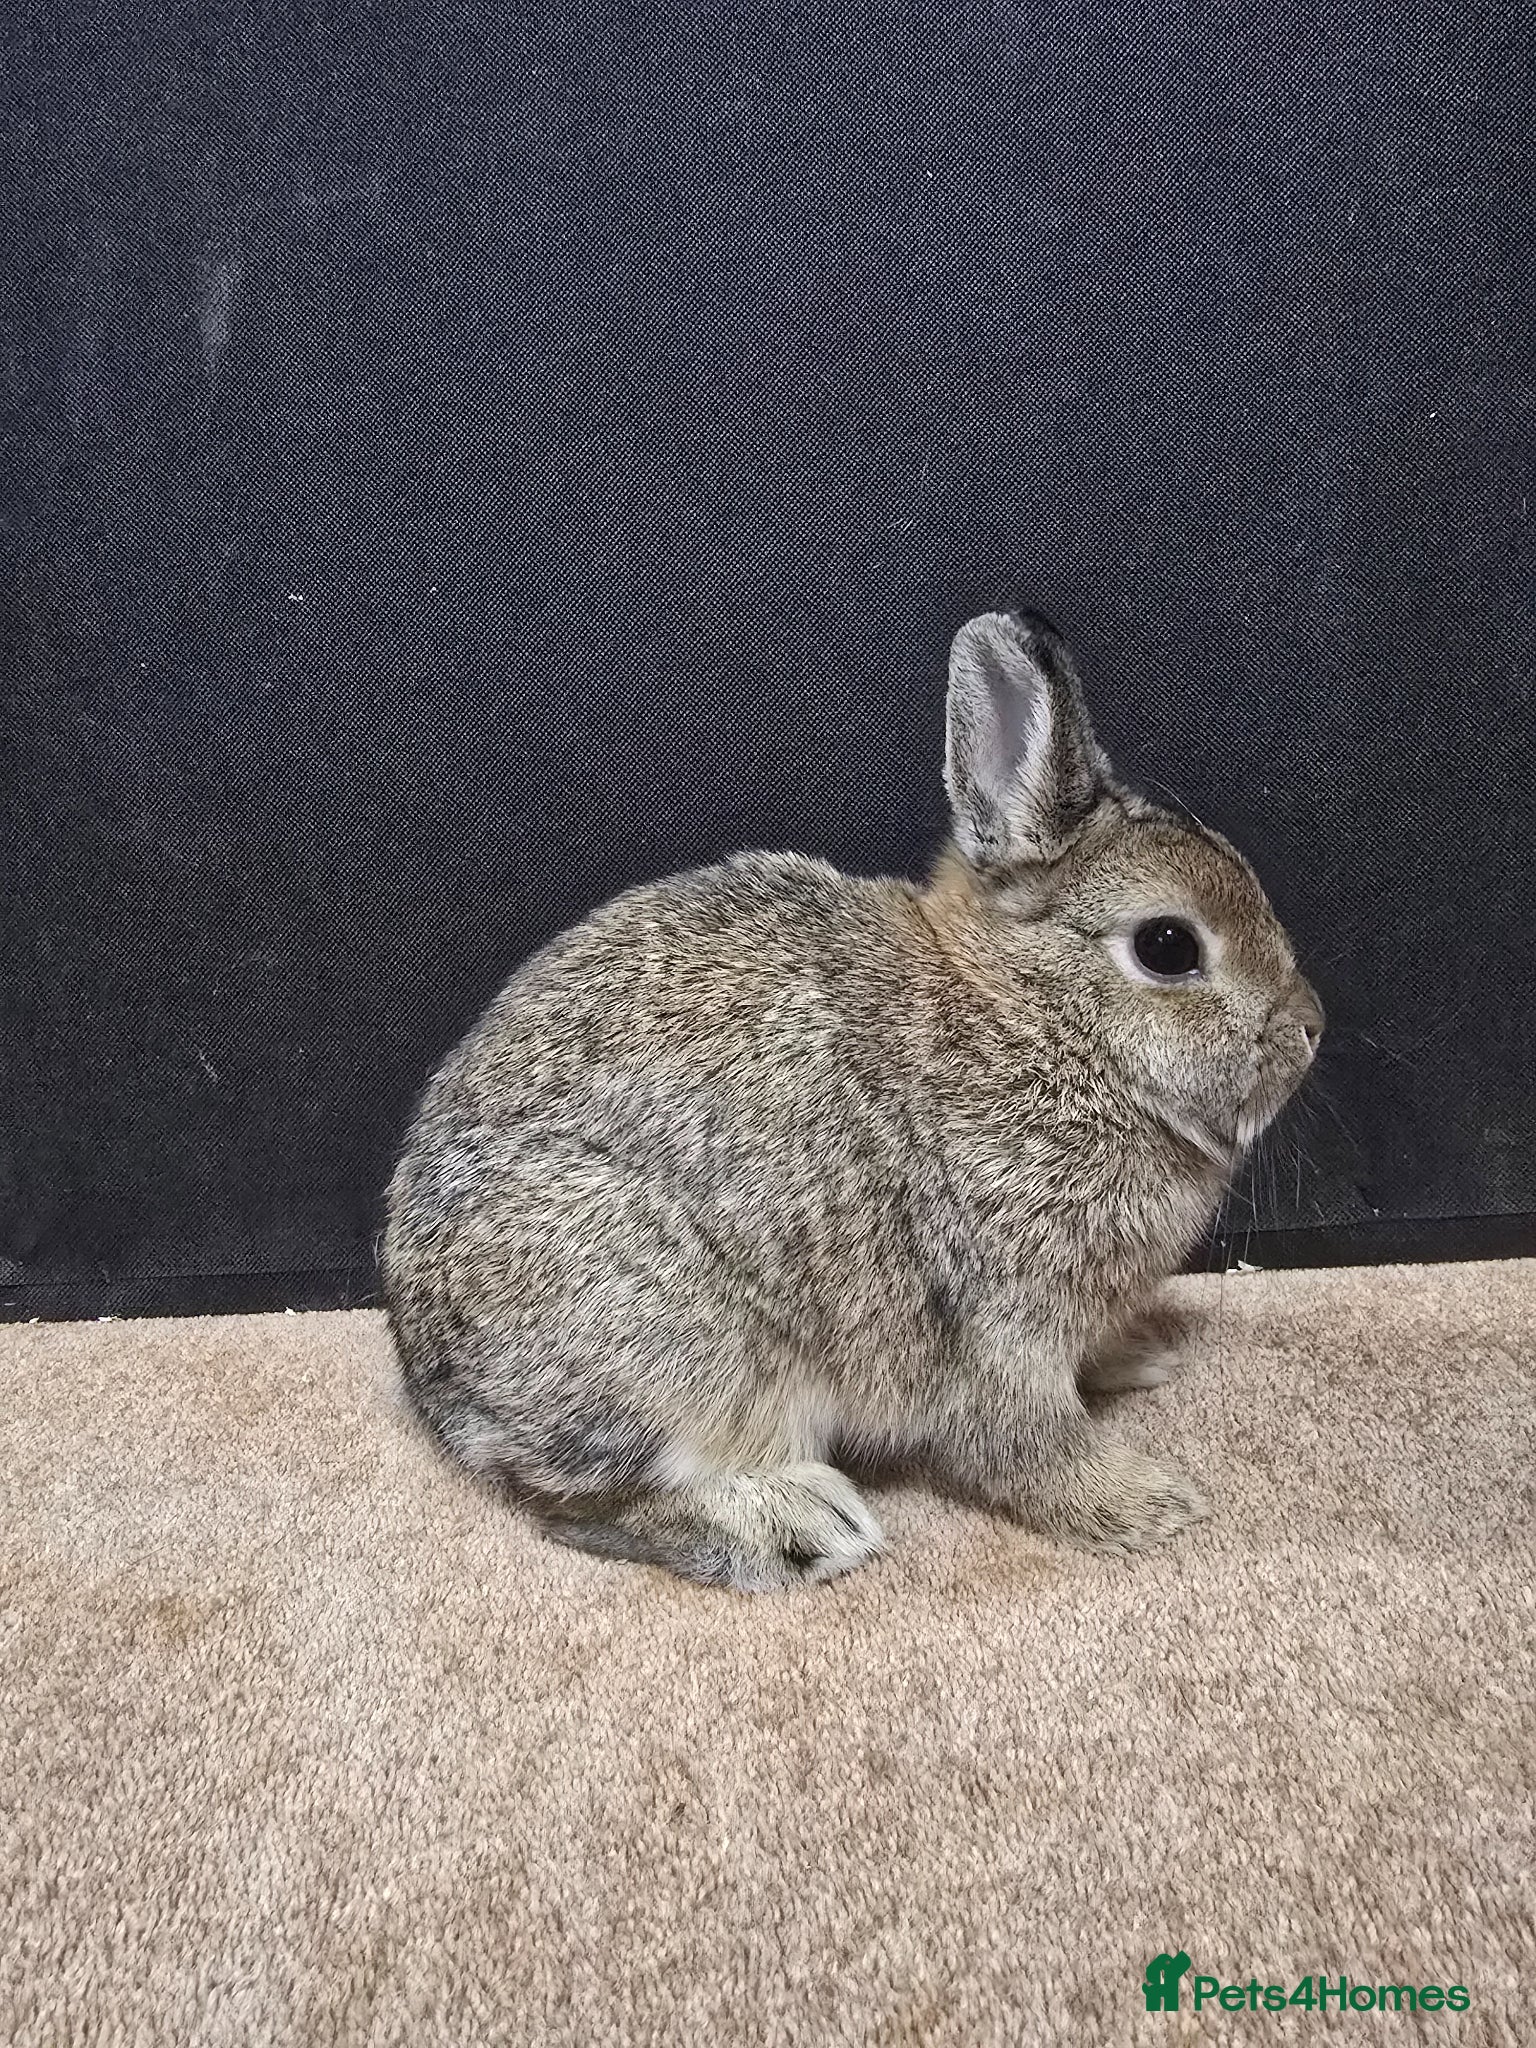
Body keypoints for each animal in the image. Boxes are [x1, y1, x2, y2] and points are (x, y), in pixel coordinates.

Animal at [382, 610, 1322, 1590]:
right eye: (1169, 946)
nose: (1312, 1027)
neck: (1037, 1023)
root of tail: (436, 1385)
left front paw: (1143, 1356)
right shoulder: (996, 1322)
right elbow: (1025, 1447)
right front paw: (1147, 1505)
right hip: (671, 1346)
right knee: (586, 1509)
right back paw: (802, 1524)